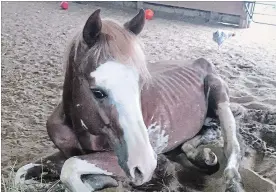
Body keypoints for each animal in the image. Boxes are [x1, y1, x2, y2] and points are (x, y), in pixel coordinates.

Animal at [15, 9, 244, 192]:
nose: (144, 165)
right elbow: (23, 173)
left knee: (231, 146)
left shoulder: (116, 162)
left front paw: (101, 181)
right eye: (98, 92)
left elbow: (70, 168)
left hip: (220, 98)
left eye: (140, 86)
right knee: (203, 136)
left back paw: (231, 180)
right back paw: (202, 157)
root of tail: (201, 63)